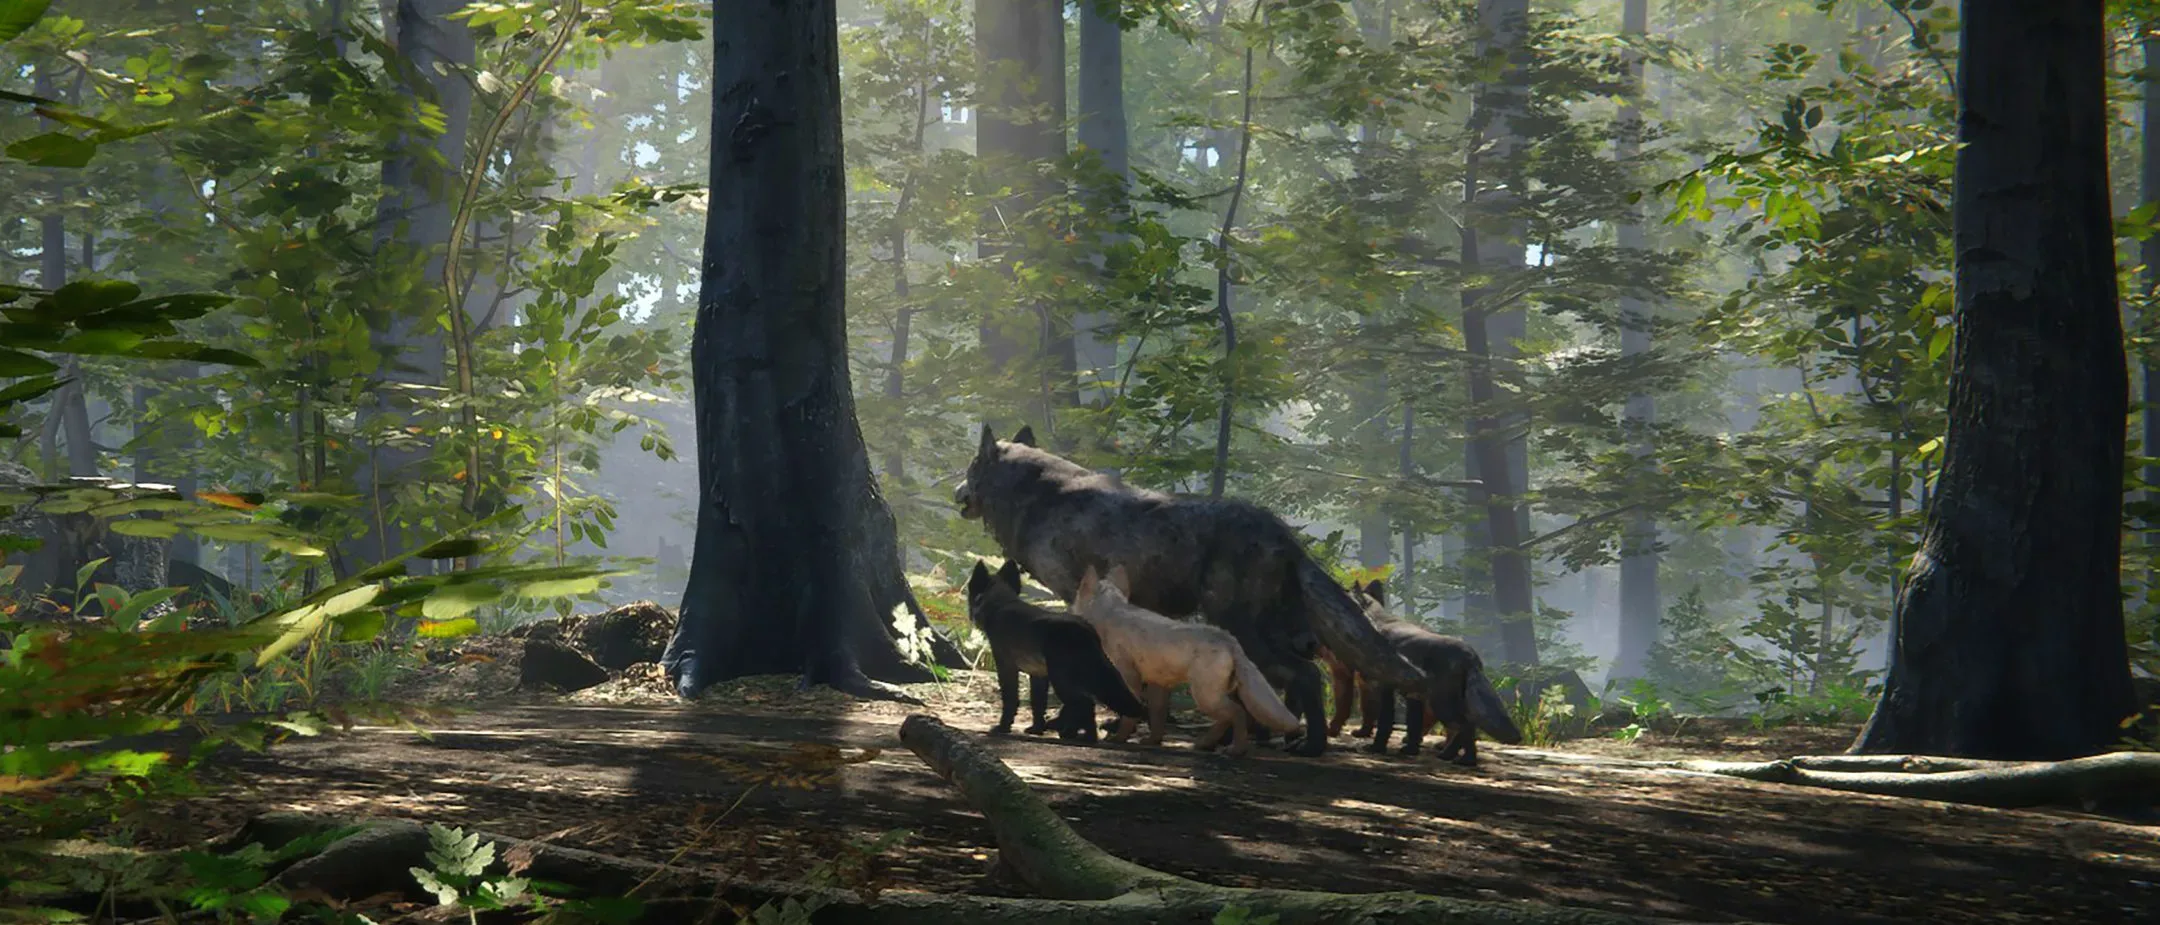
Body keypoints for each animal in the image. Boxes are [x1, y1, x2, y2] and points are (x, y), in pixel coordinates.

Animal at [965, 559, 1149, 742]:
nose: (972, 617)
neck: (1000, 604)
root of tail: (1085, 629)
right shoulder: (1038, 674)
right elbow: (1038, 703)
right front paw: (1037, 729)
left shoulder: (1006, 667)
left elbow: (1010, 699)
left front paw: (1003, 727)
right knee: (1087, 705)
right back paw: (1084, 735)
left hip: (1061, 680)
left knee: (1083, 704)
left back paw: (1077, 735)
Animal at [1070, 564, 1302, 756]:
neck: (1111, 612)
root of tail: (1228, 639)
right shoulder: (1158, 684)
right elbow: (1157, 716)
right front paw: (1152, 741)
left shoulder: (1130, 677)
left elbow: (1130, 714)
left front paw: (1119, 738)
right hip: (1212, 696)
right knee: (1227, 718)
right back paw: (1204, 744)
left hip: (1205, 697)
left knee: (1237, 713)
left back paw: (1236, 749)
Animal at [1354, 580, 1523, 765]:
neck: (1378, 621)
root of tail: (1469, 654)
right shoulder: (1414, 696)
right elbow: (1414, 727)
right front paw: (1410, 750)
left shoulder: (1385, 688)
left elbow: (1385, 722)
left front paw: (1377, 748)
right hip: (1451, 703)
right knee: (1470, 728)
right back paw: (1463, 759)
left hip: (1442, 705)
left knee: (1464, 727)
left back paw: (1452, 756)